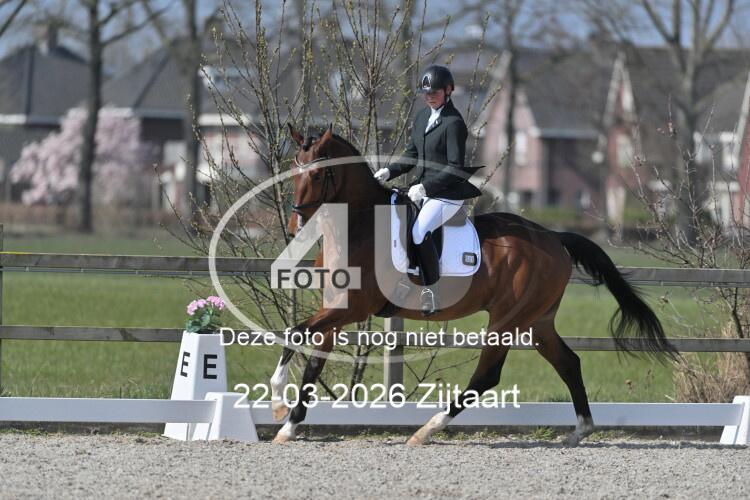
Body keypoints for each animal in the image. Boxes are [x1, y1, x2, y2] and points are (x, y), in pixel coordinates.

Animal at [270, 124, 677, 445]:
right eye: (292, 170)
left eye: (318, 175)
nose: (295, 225)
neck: (358, 227)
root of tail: (553, 237)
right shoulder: (334, 310)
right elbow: (312, 362)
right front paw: (288, 425)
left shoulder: (352, 308)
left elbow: (293, 333)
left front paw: (276, 402)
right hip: (537, 321)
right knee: (568, 362)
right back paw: (579, 431)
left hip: (506, 320)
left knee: (487, 375)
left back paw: (428, 429)